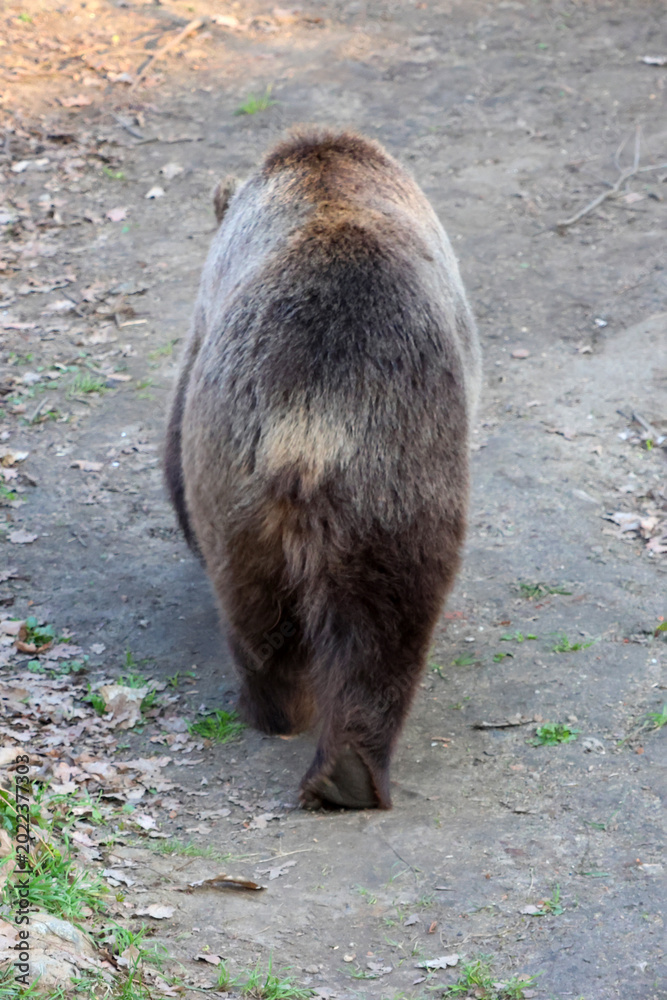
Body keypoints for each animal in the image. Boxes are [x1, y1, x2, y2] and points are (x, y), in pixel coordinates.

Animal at [165, 128, 481, 809]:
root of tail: (313, 411)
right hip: (394, 464)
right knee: (386, 611)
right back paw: (345, 766)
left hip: (254, 466)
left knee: (272, 607)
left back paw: (293, 725)